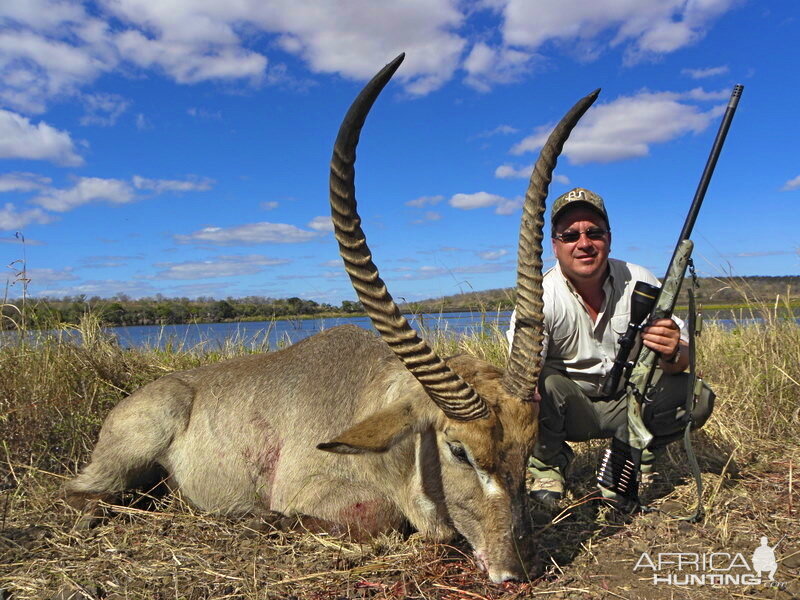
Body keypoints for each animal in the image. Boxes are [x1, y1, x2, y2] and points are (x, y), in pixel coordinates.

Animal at [65, 55, 596, 580]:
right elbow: (378, 518)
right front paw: (268, 517)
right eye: (459, 450)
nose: (517, 570)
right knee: (79, 493)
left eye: (529, 447)